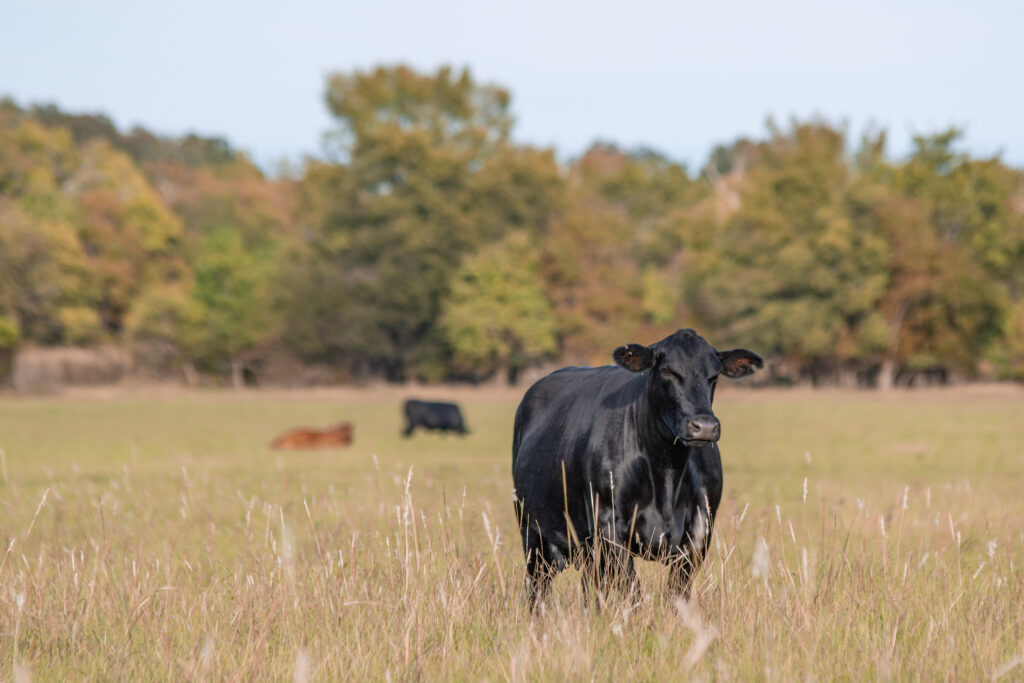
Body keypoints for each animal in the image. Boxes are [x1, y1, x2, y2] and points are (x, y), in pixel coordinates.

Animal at [512, 327, 761, 606]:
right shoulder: (609, 526)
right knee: (537, 589)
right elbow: (633, 592)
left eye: (714, 375)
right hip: (533, 534)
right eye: (667, 371)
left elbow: (677, 594)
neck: (667, 472)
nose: (704, 426)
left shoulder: (700, 531)